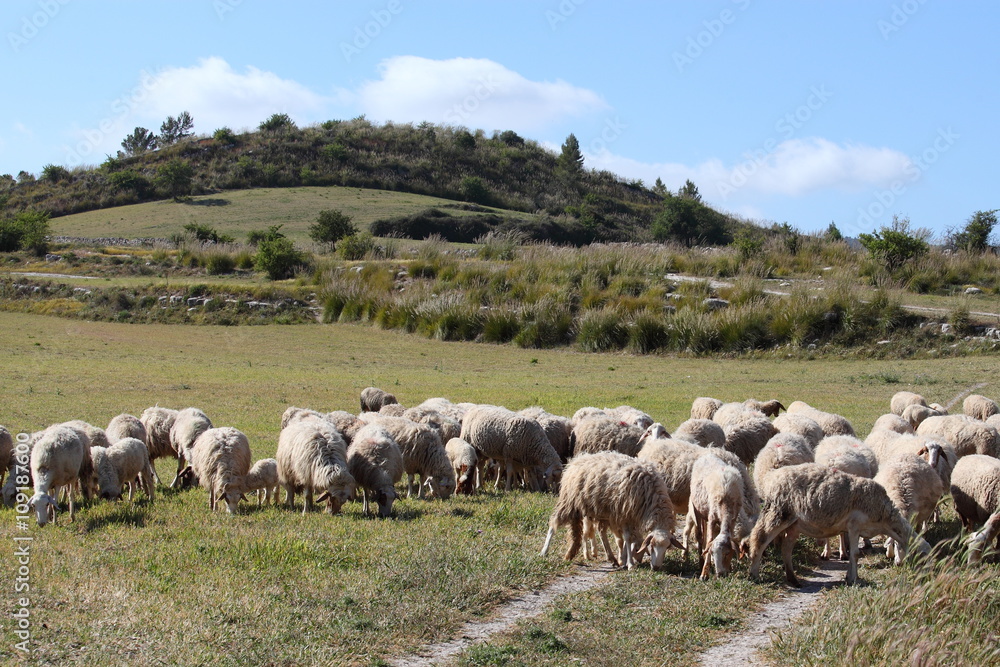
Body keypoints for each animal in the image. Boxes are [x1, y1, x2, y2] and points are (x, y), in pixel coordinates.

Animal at [540, 451, 683, 570]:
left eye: (667, 547)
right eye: (651, 545)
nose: (656, 568)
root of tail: (577, 459)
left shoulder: (629, 517)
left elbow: (627, 539)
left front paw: (623, 560)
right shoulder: (624, 514)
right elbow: (627, 538)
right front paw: (630, 564)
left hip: (597, 510)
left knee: (601, 532)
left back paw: (611, 557)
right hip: (568, 501)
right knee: (553, 524)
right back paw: (544, 551)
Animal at [687, 450, 745, 578]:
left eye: (727, 553)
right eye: (712, 553)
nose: (720, 574)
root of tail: (707, 454)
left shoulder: (733, 518)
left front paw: (729, 567)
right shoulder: (712, 518)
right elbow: (709, 541)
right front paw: (704, 573)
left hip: (705, 513)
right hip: (697, 509)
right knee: (700, 536)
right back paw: (700, 562)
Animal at [747, 463, 927, 586]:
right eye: (924, 557)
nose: (925, 580)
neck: (884, 517)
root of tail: (774, 477)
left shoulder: (854, 529)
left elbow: (853, 554)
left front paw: (849, 577)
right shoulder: (854, 525)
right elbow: (855, 554)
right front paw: (854, 580)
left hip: (794, 525)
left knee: (786, 549)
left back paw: (793, 579)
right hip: (779, 511)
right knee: (759, 538)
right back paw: (754, 575)